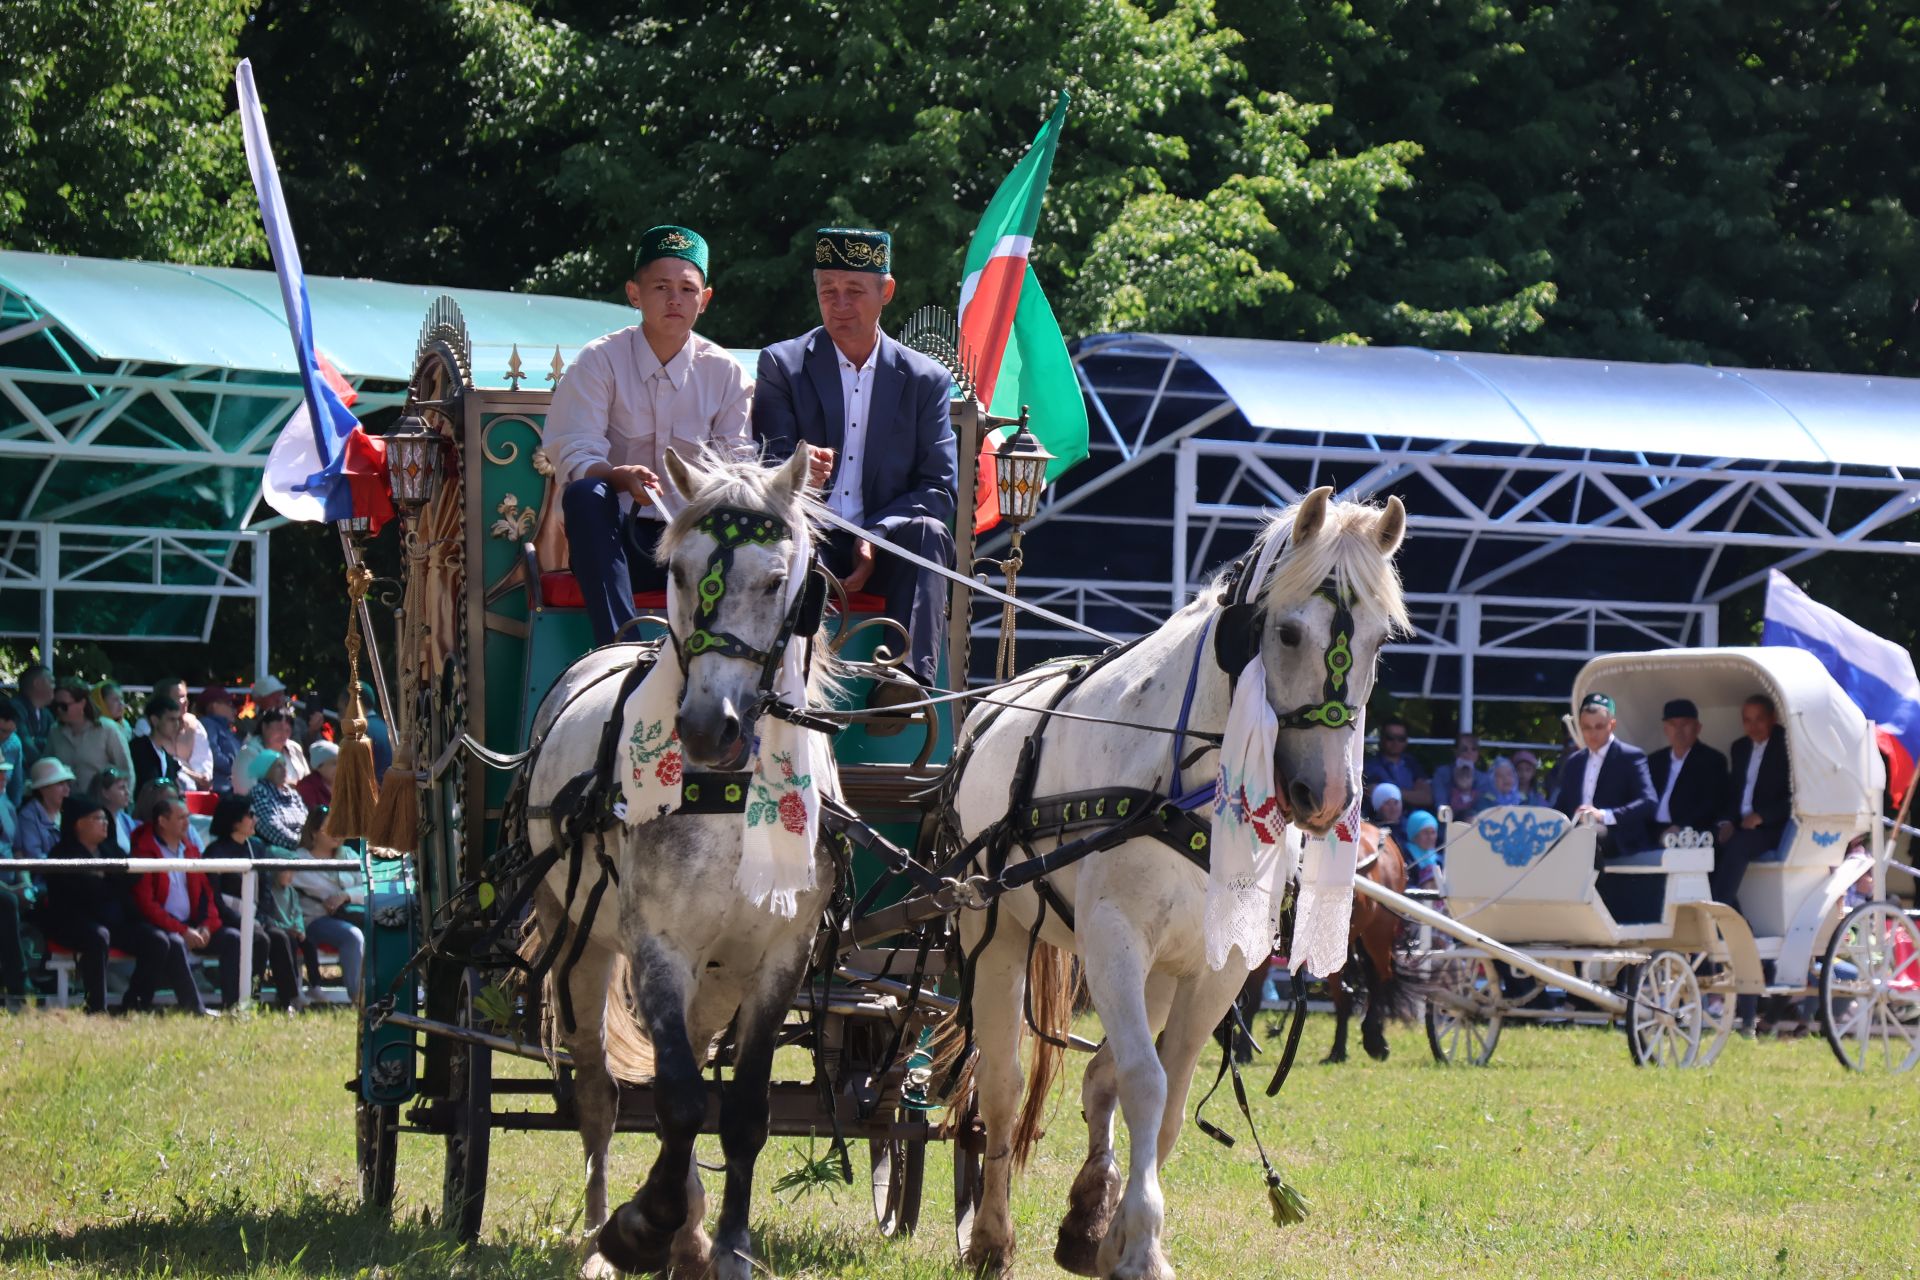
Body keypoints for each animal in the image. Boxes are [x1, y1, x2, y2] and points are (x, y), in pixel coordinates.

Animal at [518, 443, 833, 1280]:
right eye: (682, 571)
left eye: (775, 579)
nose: (704, 727)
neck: (729, 796)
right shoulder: (659, 946)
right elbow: (681, 1099)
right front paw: (641, 1227)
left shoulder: (781, 955)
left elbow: (743, 1110)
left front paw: (724, 1245)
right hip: (579, 937)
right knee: (599, 1093)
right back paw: (601, 1233)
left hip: (715, 976)